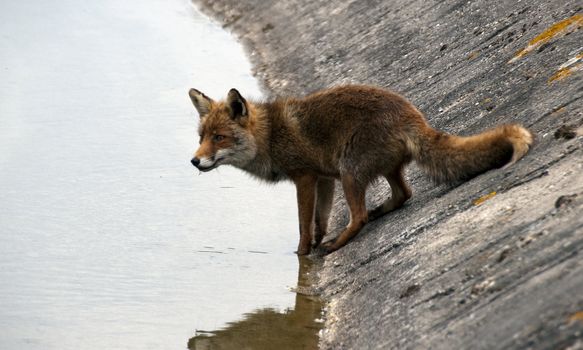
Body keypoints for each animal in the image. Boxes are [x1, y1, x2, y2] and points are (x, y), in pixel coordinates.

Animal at [189, 85, 536, 254]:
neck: (271, 135)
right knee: (403, 194)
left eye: (219, 138)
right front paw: (316, 244)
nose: (194, 161)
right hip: (370, 172)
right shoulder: (324, 179)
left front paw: (303, 254)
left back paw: (337, 245)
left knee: (360, 216)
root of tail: (412, 114)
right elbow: (320, 221)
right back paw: (376, 214)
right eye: (201, 137)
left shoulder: (306, 176)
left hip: (350, 172)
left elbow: (304, 226)